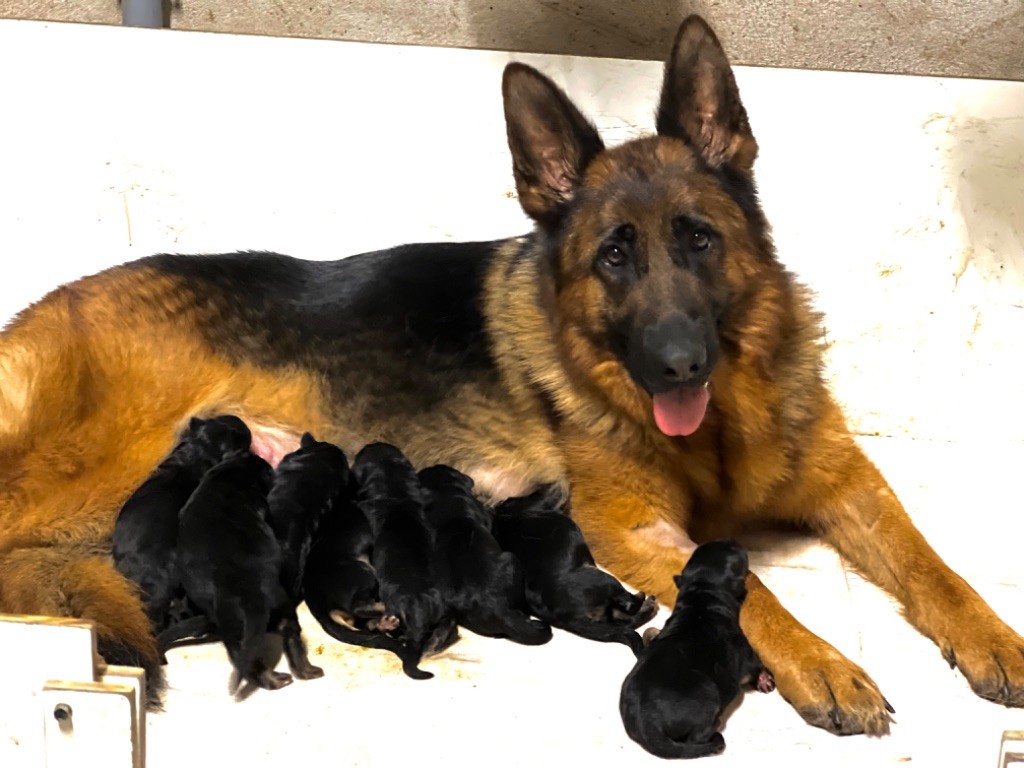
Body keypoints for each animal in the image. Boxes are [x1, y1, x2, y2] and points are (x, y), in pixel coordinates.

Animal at [176, 450, 319, 692]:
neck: (224, 477)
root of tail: (249, 597)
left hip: (232, 630)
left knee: (245, 659)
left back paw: (272, 679)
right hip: (284, 609)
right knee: (291, 637)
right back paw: (305, 671)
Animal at [614, 540, 774, 765]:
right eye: (737, 557)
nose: (733, 541)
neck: (701, 597)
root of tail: (648, 726)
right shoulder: (746, 654)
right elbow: (756, 664)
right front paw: (764, 679)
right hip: (709, 692)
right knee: (699, 736)